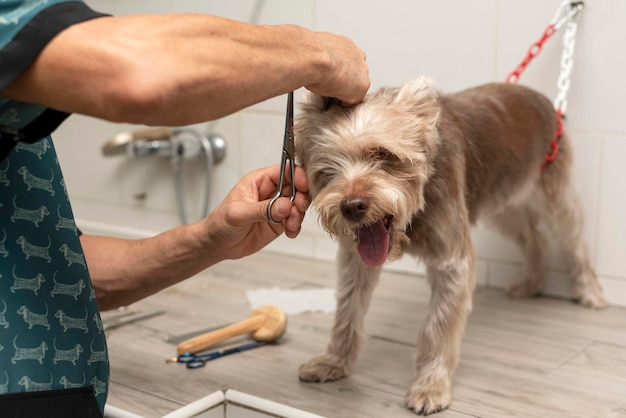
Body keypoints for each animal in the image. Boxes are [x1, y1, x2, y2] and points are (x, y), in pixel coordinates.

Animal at [292, 76, 604, 414]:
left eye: (383, 154)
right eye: (326, 169)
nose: (352, 206)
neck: (412, 216)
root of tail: (545, 101)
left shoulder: (452, 259)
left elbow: (437, 326)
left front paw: (430, 387)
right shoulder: (356, 260)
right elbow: (348, 309)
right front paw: (333, 362)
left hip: (554, 192)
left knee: (573, 240)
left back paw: (590, 292)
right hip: (503, 199)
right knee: (533, 236)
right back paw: (532, 283)